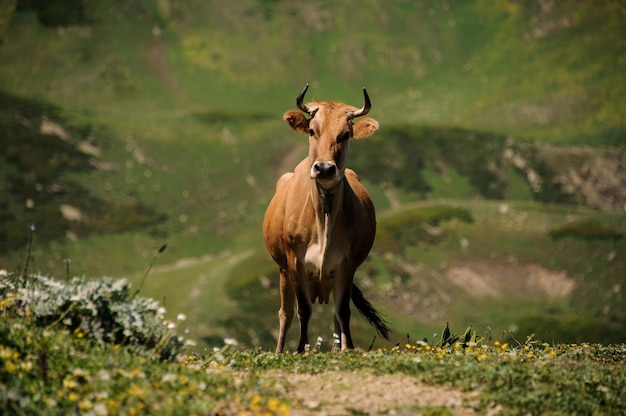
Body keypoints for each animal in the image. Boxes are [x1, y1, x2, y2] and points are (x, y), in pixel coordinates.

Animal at [264, 85, 390, 354]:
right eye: (312, 130)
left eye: (345, 134)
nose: (324, 168)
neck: (323, 219)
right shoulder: (294, 262)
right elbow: (303, 310)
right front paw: (302, 349)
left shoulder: (346, 264)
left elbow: (342, 311)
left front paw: (347, 348)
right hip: (282, 269)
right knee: (285, 312)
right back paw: (279, 350)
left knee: (333, 313)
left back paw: (336, 347)